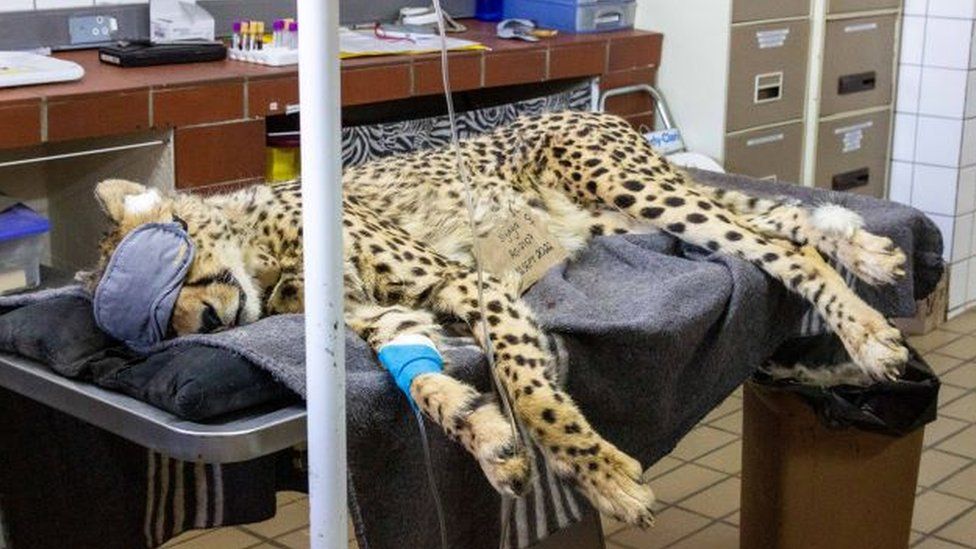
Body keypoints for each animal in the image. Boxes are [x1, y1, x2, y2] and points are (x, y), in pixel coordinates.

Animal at [89, 111, 908, 528]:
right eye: (164, 333)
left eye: (171, 271)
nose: (207, 318)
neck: (267, 260)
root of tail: (588, 106)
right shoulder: (388, 320)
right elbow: (425, 387)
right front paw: (488, 441)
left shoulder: (468, 280)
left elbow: (533, 392)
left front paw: (600, 472)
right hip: (625, 219)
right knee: (784, 220)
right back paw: (870, 253)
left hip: (635, 189)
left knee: (779, 246)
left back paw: (868, 332)